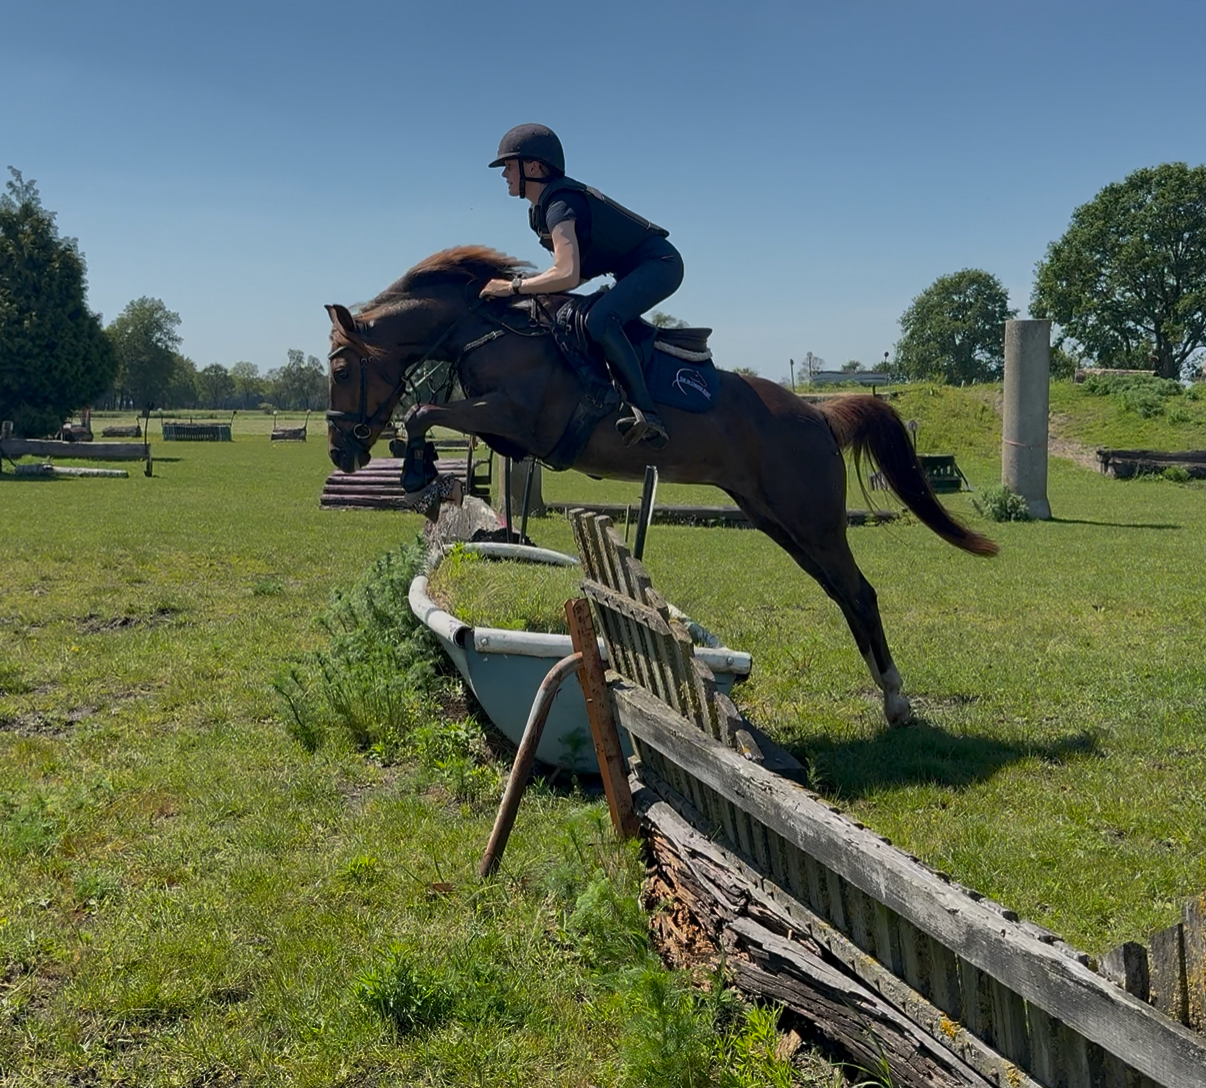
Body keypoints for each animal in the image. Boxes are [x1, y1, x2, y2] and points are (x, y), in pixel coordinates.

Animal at [325, 245, 997, 728]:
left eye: (340, 367)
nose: (341, 450)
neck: (488, 332)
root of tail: (820, 416)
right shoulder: (506, 431)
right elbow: (429, 417)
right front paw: (426, 478)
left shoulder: (518, 419)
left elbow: (421, 412)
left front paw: (419, 475)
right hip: (778, 520)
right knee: (843, 592)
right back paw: (889, 695)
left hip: (812, 520)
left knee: (859, 592)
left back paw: (896, 701)